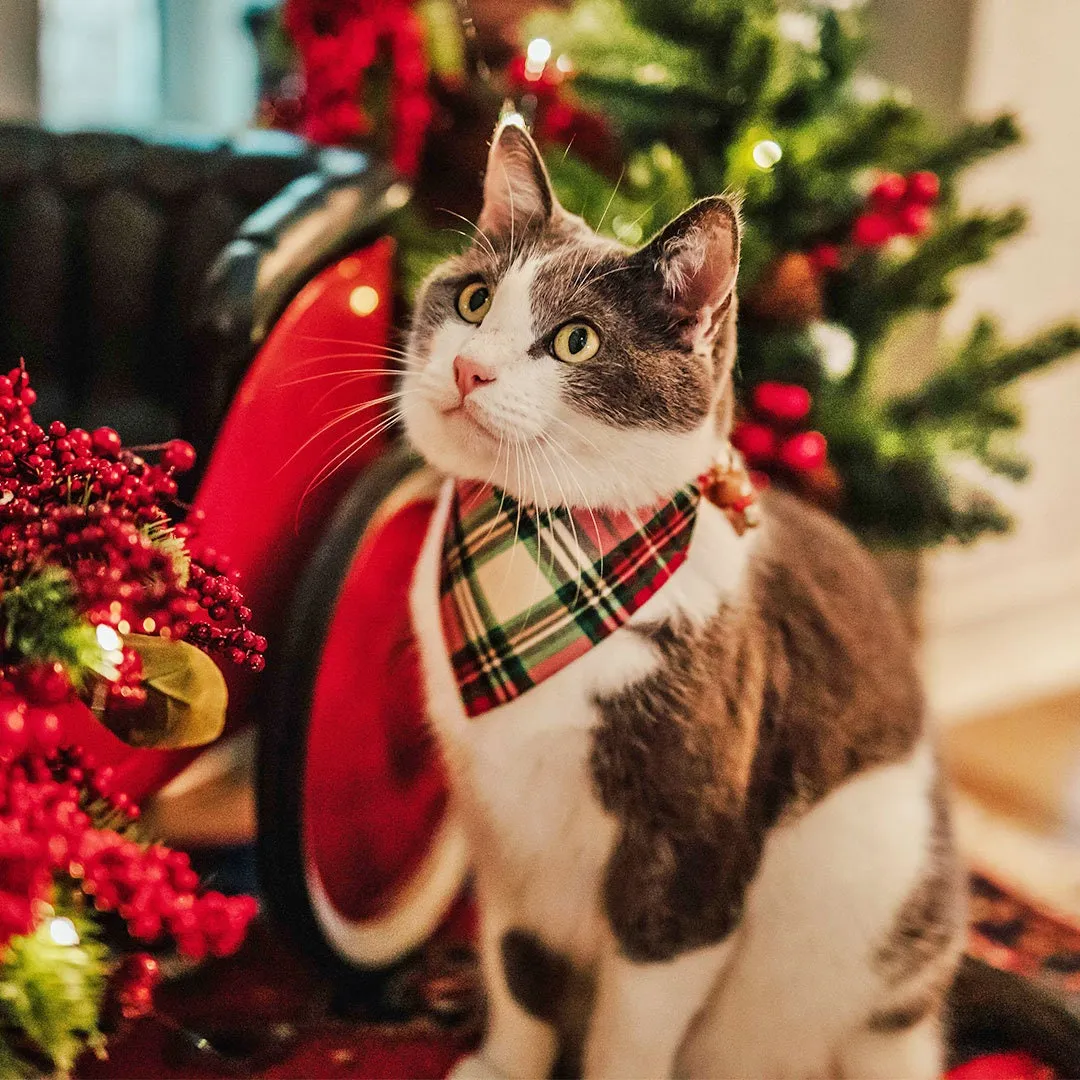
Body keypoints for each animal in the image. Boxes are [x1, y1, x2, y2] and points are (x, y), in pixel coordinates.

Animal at [403, 120, 963, 1080]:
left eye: (576, 342)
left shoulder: (690, 849)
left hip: (888, 931)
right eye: (473, 300)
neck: (539, 553)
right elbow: (519, 967)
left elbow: (633, 1025)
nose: (470, 369)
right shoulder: (503, 836)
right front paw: (503, 1065)